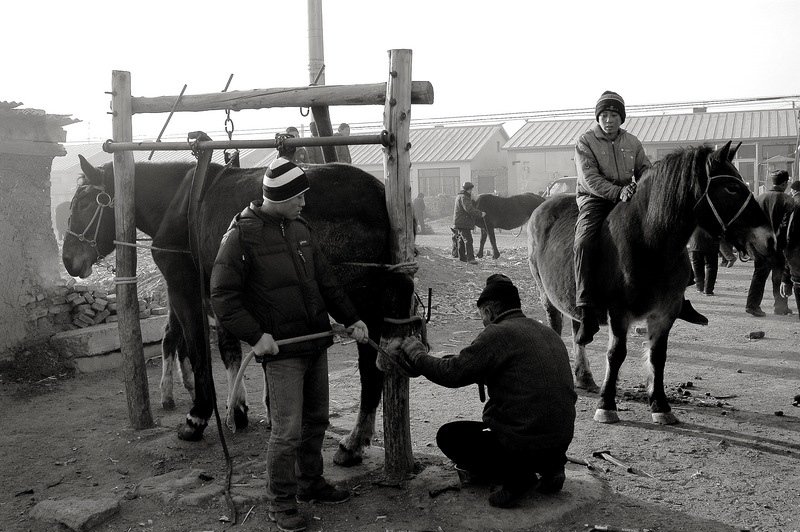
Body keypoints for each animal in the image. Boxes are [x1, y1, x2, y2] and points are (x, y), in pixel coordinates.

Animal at [62, 156, 418, 468]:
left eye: (83, 203)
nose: (67, 260)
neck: (176, 201)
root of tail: (379, 191)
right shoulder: (222, 289)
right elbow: (232, 348)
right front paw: (242, 408)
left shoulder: (184, 286)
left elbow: (200, 351)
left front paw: (199, 415)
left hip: (359, 297)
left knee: (370, 365)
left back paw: (354, 442)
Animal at [524, 141, 776, 424]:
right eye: (732, 188)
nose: (769, 239)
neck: (647, 243)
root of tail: (543, 205)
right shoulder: (619, 312)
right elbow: (616, 354)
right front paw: (606, 404)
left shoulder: (665, 312)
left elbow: (658, 356)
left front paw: (660, 405)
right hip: (545, 294)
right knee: (556, 326)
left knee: (578, 329)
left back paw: (584, 376)